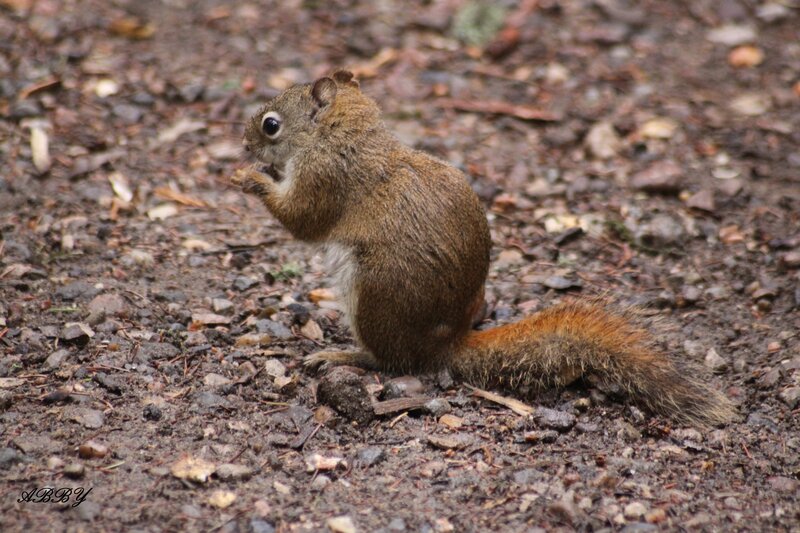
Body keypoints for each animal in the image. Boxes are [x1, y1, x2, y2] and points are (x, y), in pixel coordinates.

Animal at [231, 70, 735, 427]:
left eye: (271, 125)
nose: (244, 143)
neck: (343, 136)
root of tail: (444, 346)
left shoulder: (325, 179)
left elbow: (302, 220)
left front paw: (251, 179)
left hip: (371, 293)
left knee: (390, 360)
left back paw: (340, 355)